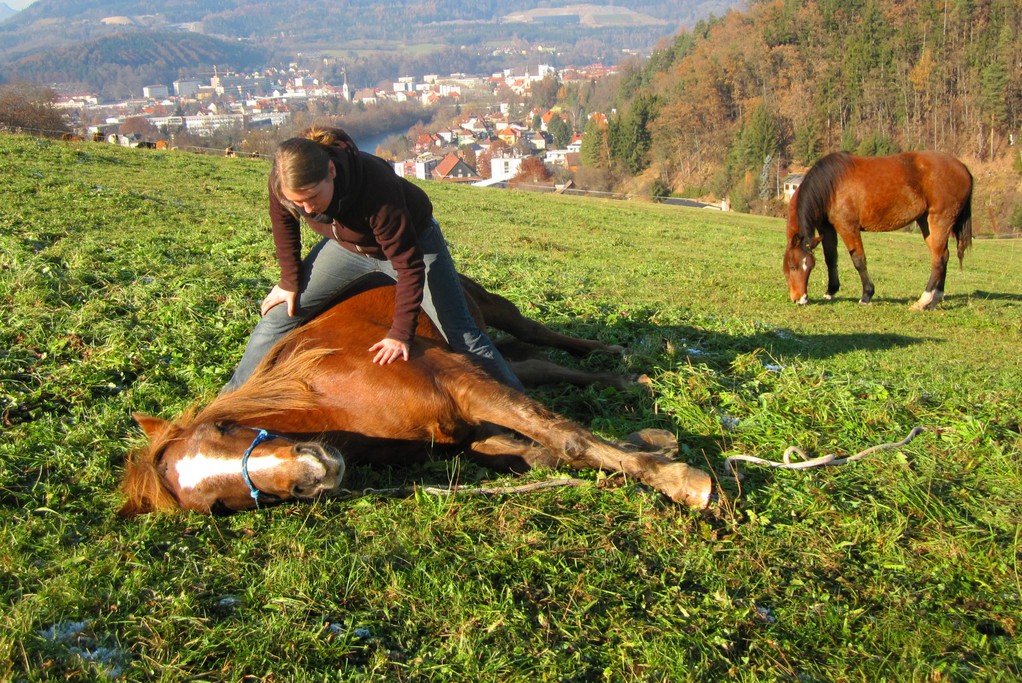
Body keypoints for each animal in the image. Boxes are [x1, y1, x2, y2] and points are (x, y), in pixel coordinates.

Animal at [117, 274, 711, 515]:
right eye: (218, 505)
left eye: (222, 427)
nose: (314, 469)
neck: (333, 397)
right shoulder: (464, 422)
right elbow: (529, 448)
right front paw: (653, 446)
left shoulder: (462, 385)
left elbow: (565, 437)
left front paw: (685, 484)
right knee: (534, 364)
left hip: (484, 307)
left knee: (541, 336)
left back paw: (614, 358)